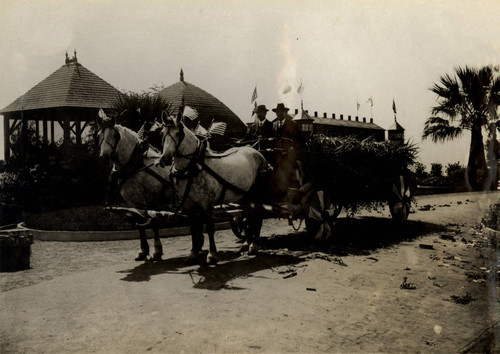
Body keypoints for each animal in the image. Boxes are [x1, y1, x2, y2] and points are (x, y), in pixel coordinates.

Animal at [96, 109, 173, 262]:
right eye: (98, 135)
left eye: (115, 135)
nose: (104, 157)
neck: (135, 165)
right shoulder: (134, 203)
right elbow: (139, 224)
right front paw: (143, 251)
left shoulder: (150, 201)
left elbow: (154, 222)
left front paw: (157, 251)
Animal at [159, 112, 270, 264]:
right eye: (162, 132)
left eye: (178, 133)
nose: (165, 159)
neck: (193, 167)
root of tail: (256, 151)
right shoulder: (188, 205)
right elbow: (193, 228)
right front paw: (193, 253)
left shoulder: (207, 204)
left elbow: (210, 228)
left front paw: (212, 254)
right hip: (244, 196)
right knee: (248, 216)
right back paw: (247, 243)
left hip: (257, 194)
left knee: (258, 216)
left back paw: (254, 245)